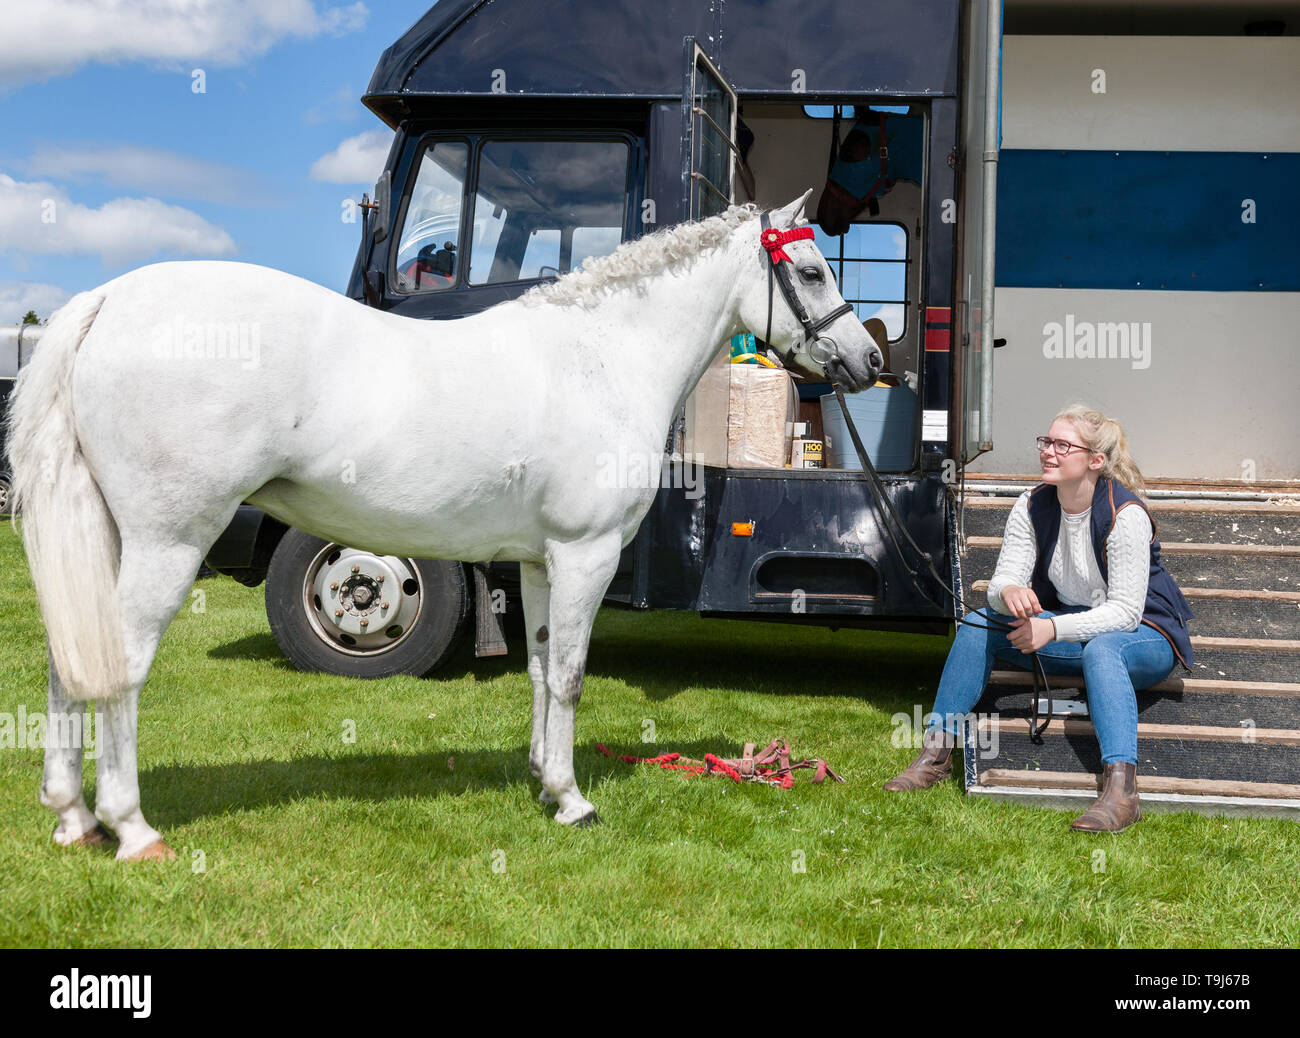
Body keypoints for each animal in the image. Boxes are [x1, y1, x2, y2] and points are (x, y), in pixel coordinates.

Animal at [7, 192, 873, 863]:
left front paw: (544, 784)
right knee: (119, 667)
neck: (599, 358)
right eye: (810, 271)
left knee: (70, 658)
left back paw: (74, 817)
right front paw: (576, 801)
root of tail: (107, 302)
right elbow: (570, 676)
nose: (867, 360)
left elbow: (538, 668)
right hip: (168, 541)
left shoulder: (540, 560)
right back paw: (131, 828)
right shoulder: (585, 555)